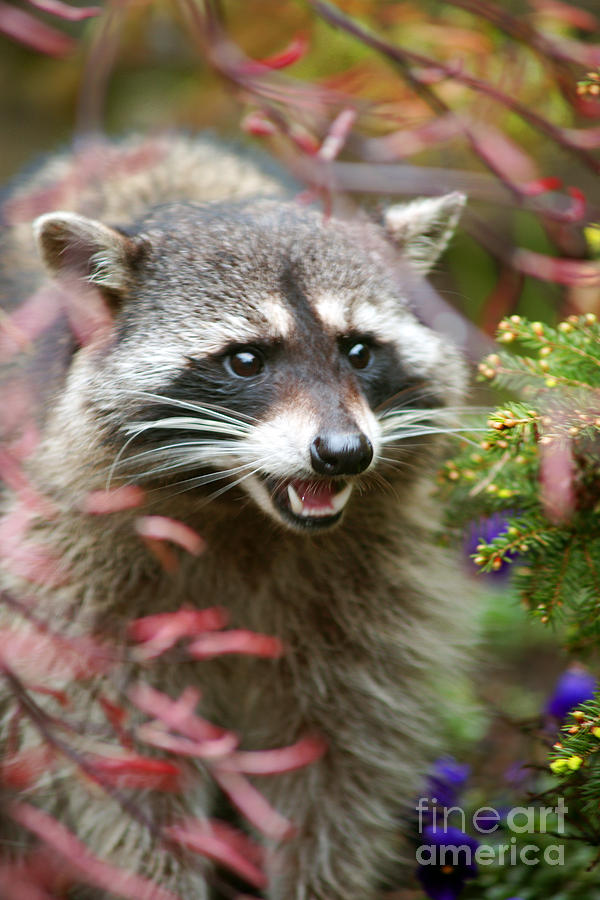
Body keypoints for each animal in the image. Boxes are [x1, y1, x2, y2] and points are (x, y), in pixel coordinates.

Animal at [0, 135, 468, 900]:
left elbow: (344, 762)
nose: (345, 453)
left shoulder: (371, 596)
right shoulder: (72, 583)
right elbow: (120, 764)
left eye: (358, 350)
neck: (242, 513)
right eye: (246, 360)